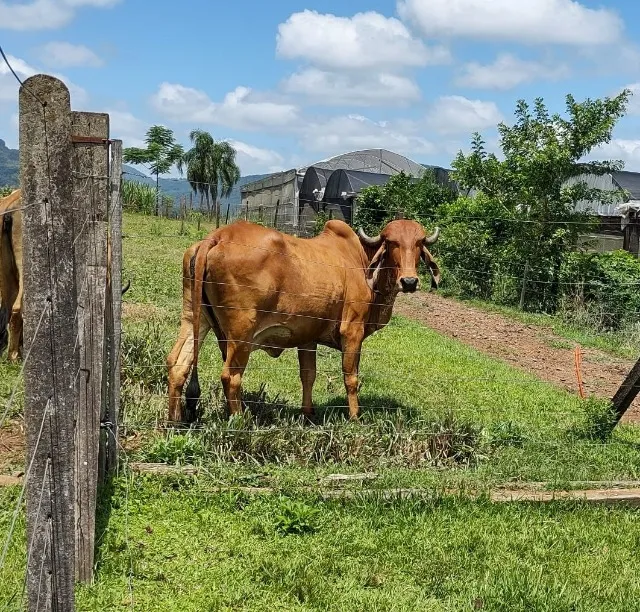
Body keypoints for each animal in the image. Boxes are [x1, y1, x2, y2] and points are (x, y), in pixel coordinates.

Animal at [166, 218, 441, 423]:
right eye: (392, 243)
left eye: (419, 243)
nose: (409, 281)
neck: (363, 260)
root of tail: (218, 236)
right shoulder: (352, 331)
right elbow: (351, 378)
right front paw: (355, 417)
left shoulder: (308, 338)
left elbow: (308, 375)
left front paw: (308, 414)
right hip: (241, 334)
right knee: (230, 378)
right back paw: (242, 421)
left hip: (194, 317)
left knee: (178, 364)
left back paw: (174, 422)